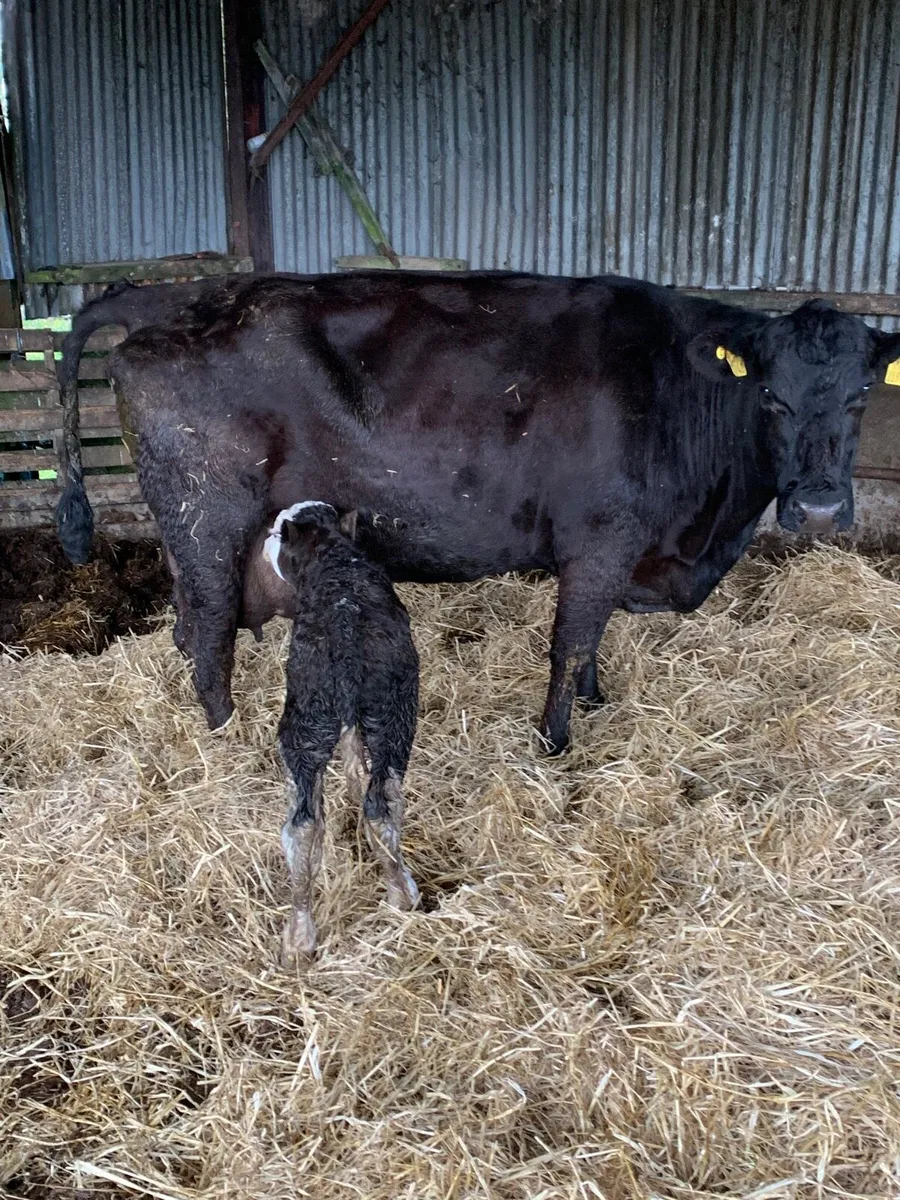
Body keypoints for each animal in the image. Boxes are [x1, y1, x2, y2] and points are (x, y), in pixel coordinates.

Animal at [57, 272, 900, 754]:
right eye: (772, 395)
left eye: (863, 393)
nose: (820, 507)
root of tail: (176, 293)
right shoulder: (600, 540)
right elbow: (570, 641)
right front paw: (556, 743)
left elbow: (591, 643)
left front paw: (595, 701)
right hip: (209, 518)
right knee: (207, 635)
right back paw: (226, 740)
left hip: (187, 532)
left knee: (188, 628)